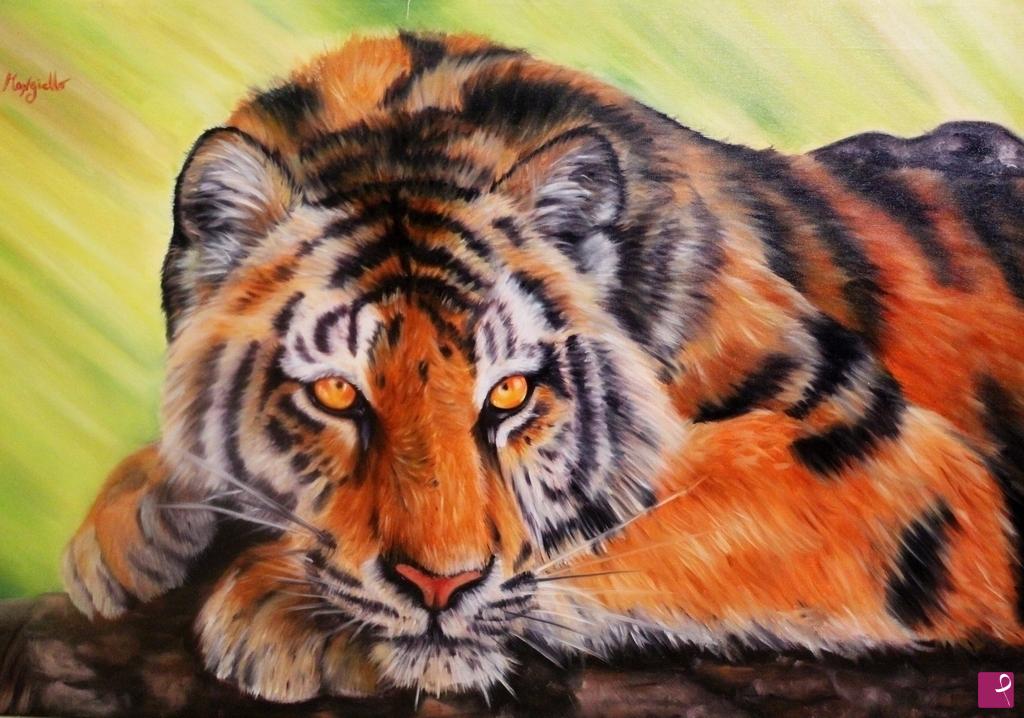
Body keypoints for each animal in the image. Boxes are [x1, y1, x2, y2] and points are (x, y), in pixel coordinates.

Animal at [61, 31, 1024, 702]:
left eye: (512, 393)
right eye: (336, 393)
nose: (438, 588)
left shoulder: (877, 451)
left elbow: (635, 498)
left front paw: (280, 603)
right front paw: (128, 525)